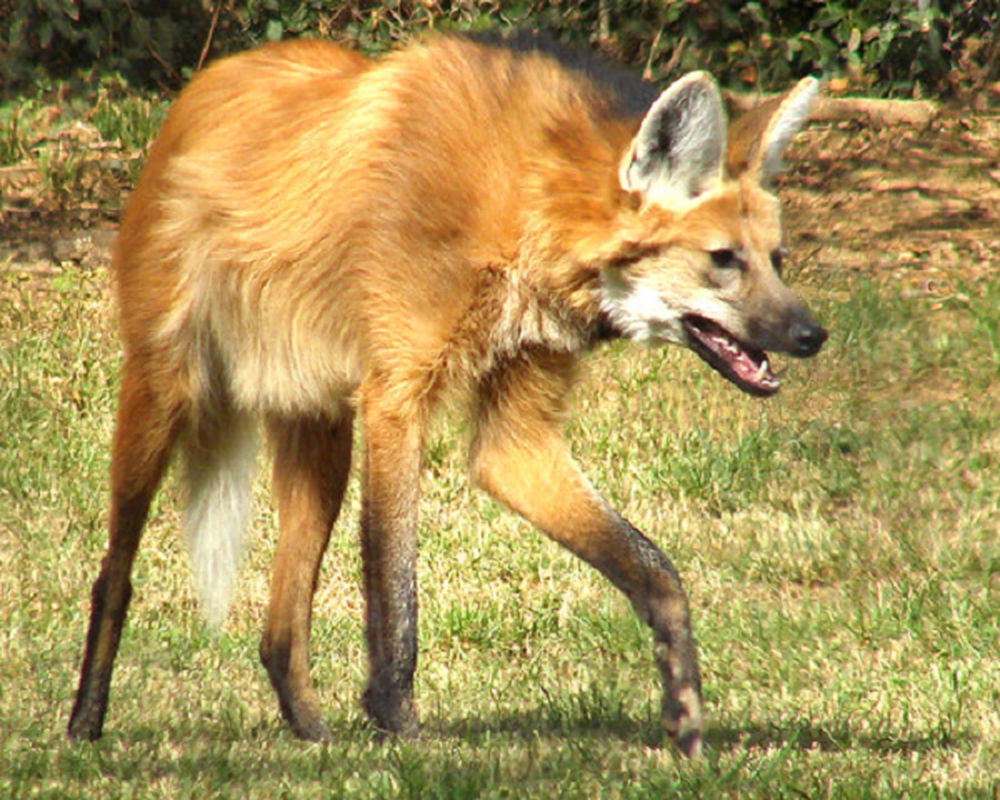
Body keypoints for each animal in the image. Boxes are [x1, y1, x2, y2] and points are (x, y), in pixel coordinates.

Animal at [66, 34, 824, 756]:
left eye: (777, 261)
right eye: (723, 261)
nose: (813, 334)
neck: (517, 211)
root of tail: (201, 85)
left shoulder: (514, 436)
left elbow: (657, 571)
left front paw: (685, 713)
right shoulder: (396, 396)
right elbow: (397, 598)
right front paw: (400, 732)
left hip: (321, 439)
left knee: (280, 629)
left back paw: (312, 736)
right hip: (164, 392)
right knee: (115, 573)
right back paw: (85, 725)